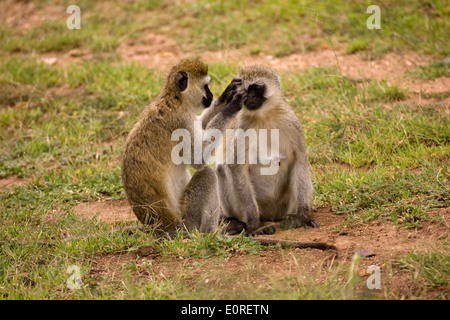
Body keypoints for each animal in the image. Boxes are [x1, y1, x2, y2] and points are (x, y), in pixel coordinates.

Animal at [120, 59, 243, 235]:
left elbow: (201, 124)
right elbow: (198, 160)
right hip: (188, 219)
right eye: (206, 86)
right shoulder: (182, 120)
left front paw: (226, 95)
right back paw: (213, 233)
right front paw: (232, 106)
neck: (176, 100)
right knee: (207, 175)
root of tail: (161, 227)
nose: (212, 96)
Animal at [218, 65, 320, 235]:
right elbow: (236, 167)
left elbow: (299, 160)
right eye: (243, 89)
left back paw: (293, 219)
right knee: (222, 168)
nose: (249, 96)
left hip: (283, 206)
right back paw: (235, 222)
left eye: (256, 88)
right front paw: (254, 224)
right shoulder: (242, 126)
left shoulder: (291, 121)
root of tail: (272, 215)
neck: (263, 115)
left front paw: (304, 215)